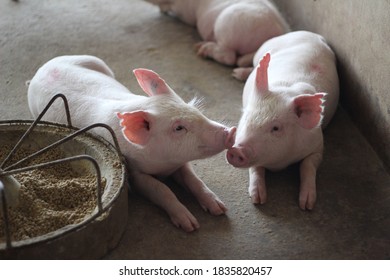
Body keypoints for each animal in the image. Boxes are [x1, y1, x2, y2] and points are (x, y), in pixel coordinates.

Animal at [27, 55, 236, 232]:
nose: (231, 131)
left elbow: (194, 180)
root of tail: (41, 70)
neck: (164, 166)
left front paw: (220, 209)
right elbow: (161, 190)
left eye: (194, 109)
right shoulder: (135, 173)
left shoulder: (180, 163)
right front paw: (190, 225)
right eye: (178, 128)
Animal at [149, 0, 290, 66]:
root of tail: (278, 31)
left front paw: (163, 9)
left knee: (230, 58)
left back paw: (201, 49)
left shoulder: (185, 12)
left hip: (227, 27)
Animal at [227, 30, 340, 210]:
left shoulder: (318, 146)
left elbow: (307, 166)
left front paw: (306, 205)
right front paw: (258, 199)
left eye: (276, 128)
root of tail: (312, 34)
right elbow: (256, 168)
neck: (280, 162)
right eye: (246, 117)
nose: (236, 150)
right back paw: (237, 72)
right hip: (265, 47)